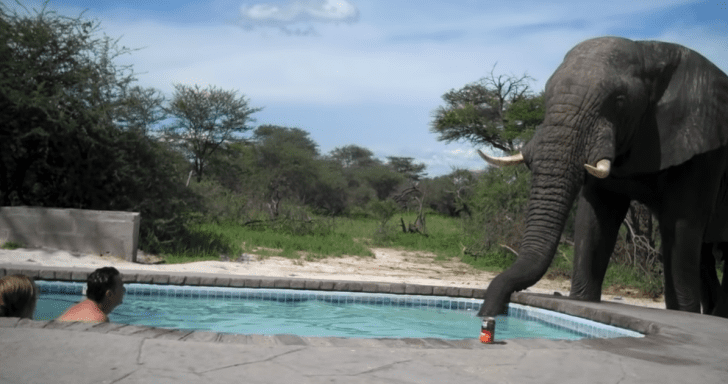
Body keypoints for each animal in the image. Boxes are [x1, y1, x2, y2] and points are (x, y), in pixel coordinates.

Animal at [478, 36, 728, 318]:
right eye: (547, 93)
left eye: (619, 101)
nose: (489, 314)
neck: (649, 52)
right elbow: (595, 217)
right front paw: (582, 300)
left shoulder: (704, 147)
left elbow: (681, 225)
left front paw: (684, 314)